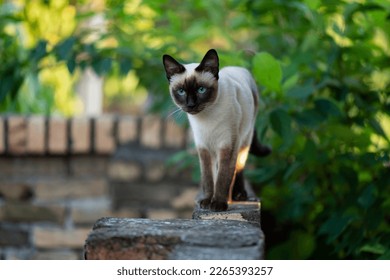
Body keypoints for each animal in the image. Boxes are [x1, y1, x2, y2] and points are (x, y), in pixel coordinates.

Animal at [163, 49, 270, 211]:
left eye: (201, 90)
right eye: (181, 91)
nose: (191, 105)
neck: (206, 118)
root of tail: (237, 67)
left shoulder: (227, 146)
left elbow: (222, 178)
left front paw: (219, 204)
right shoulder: (204, 147)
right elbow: (208, 178)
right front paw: (207, 202)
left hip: (244, 140)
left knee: (239, 167)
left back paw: (238, 196)